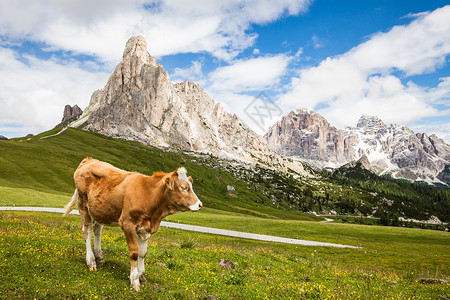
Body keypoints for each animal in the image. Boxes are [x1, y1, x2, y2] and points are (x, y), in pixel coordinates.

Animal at [62, 157, 202, 290]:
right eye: (183, 187)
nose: (200, 205)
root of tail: (89, 160)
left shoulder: (145, 229)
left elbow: (143, 253)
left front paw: (142, 277)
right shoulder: (127, 224)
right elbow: (134, 252)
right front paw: (134, 281)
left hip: (100, 210)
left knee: (97, 230)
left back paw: (99, 257)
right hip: (83, 204)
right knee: (87, 231)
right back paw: (91, 262)